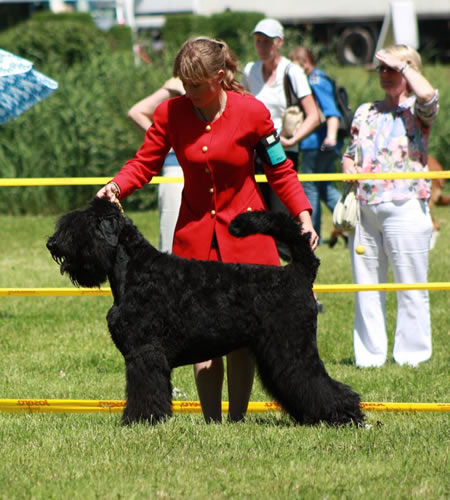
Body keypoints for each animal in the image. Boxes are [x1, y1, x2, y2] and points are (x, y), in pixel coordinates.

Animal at [47, 198, 364, 426]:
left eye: (83, 226)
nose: (52, 243)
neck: (137, 271)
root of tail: (300, 271)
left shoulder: (144, 353)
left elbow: (144, 390)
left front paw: (139, 420)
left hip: (292, 348)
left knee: (315, 381)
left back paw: (348, 416)